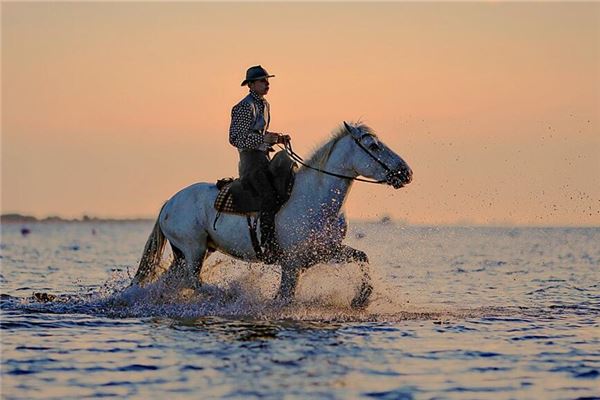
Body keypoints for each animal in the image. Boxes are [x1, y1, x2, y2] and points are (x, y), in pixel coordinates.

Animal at [130, 120, 412, 308]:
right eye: (374, 145)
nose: (406, 172)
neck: (315, 199)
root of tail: (169, 202)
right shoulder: (292, 263)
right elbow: (285, 297)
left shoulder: (324, 251)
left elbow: (362, 257)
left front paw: (361, 299)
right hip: (193, 249)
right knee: (192, 281)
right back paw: (228, 294)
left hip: (191, 252)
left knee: (173, 281)